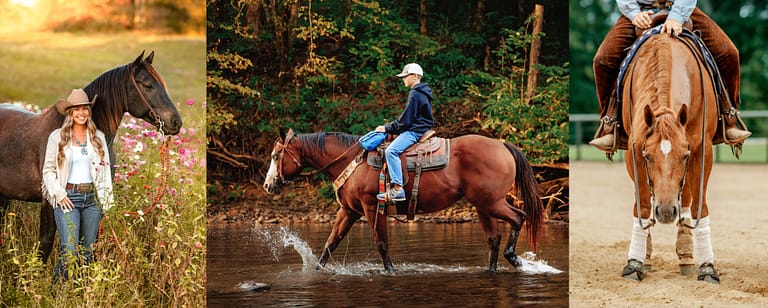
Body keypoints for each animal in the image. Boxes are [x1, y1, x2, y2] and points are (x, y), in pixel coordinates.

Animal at [264, 129, 544, 274]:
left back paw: (514, 258)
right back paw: (493, 269)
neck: (351, 161)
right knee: (494, 237)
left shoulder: (372, 207)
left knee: (519, 217)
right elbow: (331, 242)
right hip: (483, 205)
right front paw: (316, 271)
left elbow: (382, 243)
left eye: (276, 155)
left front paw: (390, 271)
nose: (268, 185)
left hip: (491, 202)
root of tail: (503, 146)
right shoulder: (349, 211)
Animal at [616, 31, 720, 284]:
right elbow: (643, 205)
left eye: (683, 156)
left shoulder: (701, 150)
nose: (665, 211)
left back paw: (686, 255)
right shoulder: (634, 149)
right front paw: (635, 263)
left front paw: (707, 268)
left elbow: (699, 206)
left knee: (688, 199)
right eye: (647, 156)